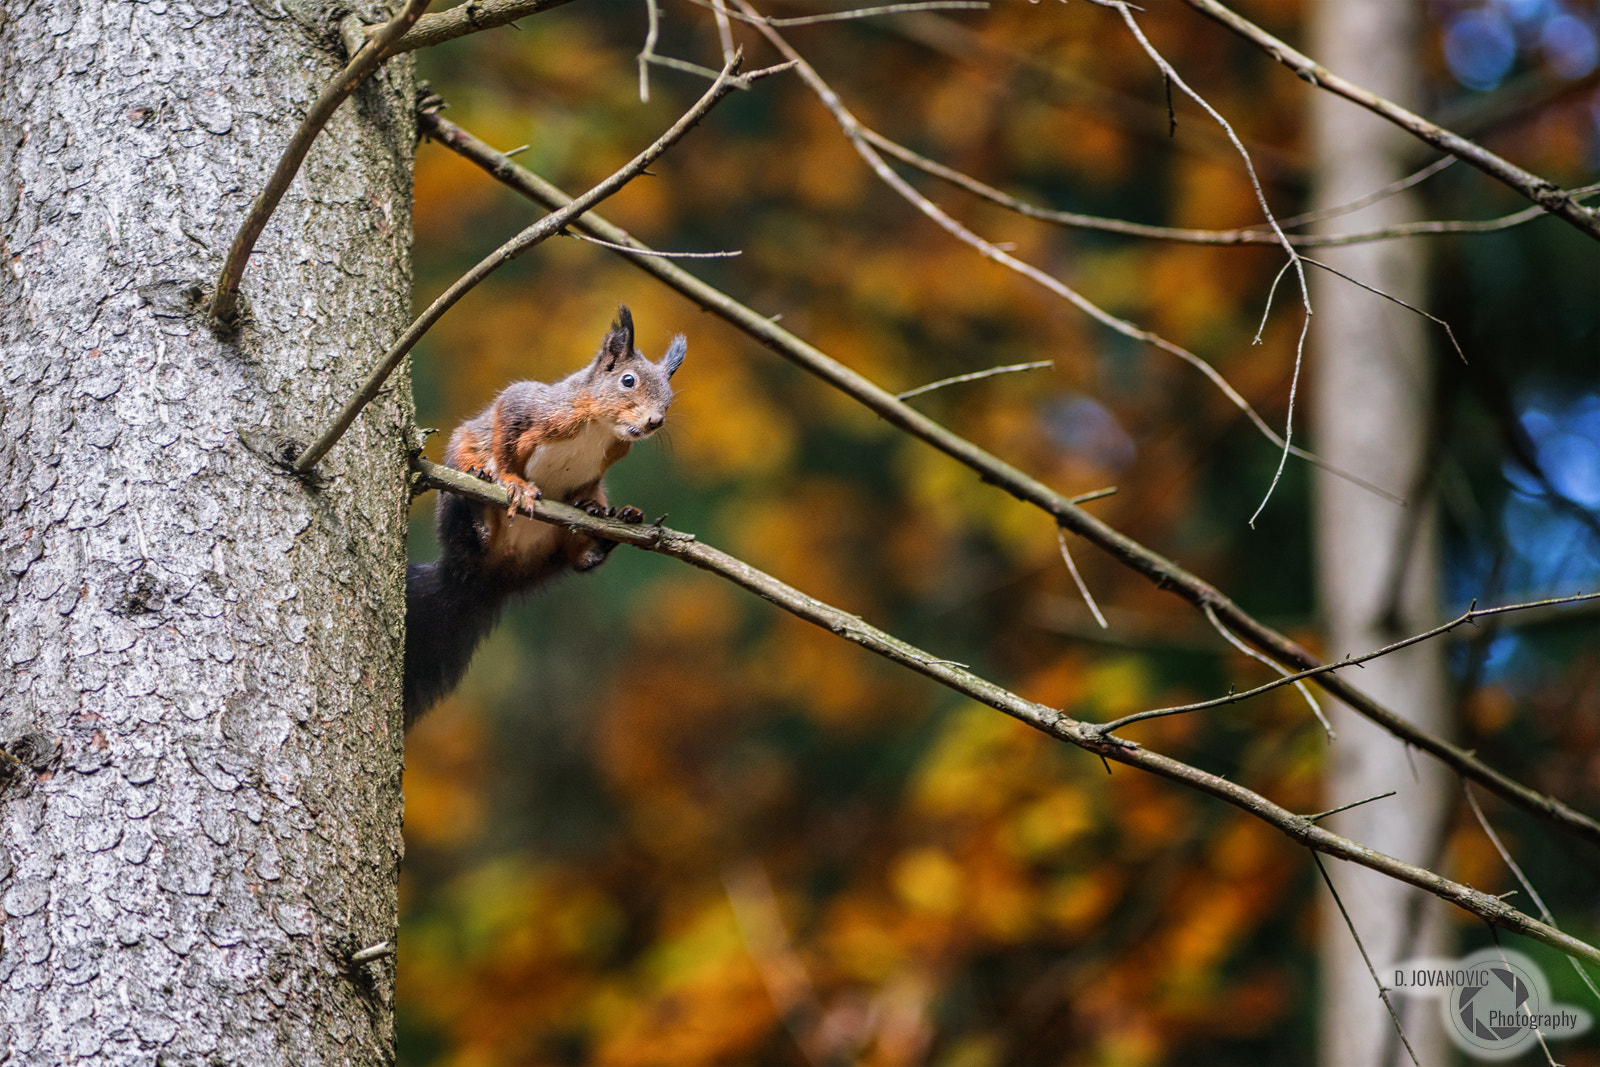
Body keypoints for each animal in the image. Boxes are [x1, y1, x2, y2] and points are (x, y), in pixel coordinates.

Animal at [403, 306, 686, 726]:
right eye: (628, 380)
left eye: (668, 397)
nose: (656, 421)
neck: (600, 427)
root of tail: (487, 581)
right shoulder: (529, 408)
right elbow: (505, 439)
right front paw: (512, 481)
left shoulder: (601, 468)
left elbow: (588, 488)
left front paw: (595, 507)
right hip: (454, 500)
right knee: (468, 533)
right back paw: (479, 512)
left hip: (551, 550)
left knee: (577, 559)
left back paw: (612, 529)